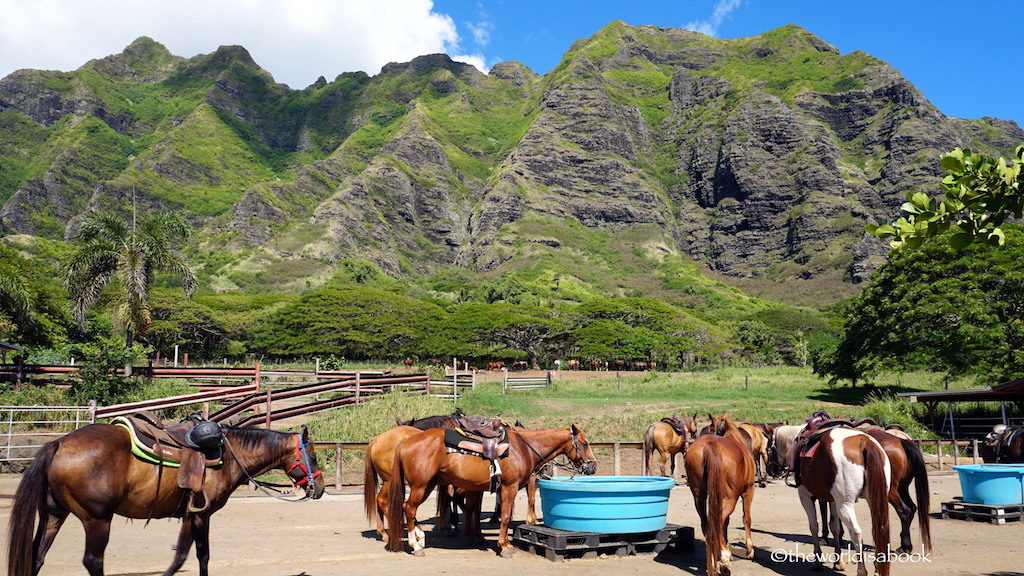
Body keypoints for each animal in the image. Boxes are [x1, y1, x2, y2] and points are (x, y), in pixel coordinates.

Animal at [7, 420, 323, 569]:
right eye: (314, 456)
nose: (319, 488)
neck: (229, 455)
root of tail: (59, 444)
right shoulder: (199, 515)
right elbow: (185, 557)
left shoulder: (193, 516)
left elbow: (199, 556)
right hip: (97, 519)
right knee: (92, 561)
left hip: (54, 514)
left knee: (37, 556)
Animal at [385, 424, 598, 553]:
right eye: (585, 443)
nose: (593, 466)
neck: (523, 448)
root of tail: (405, 442)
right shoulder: (509, 487)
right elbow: (505, 515)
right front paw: (504, 545)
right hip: (420, 486)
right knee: (409, 508)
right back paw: (415, 544)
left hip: (428, 485)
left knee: (409, 509)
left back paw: (420, 538)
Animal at [684, 412, 757, 573]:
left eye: (709, 428)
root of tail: (710, 446)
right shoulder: (748, 491)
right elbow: (746, 518)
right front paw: (750, 551)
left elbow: (726, 523)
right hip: (730, 498)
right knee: (717, 521)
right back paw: (724, 559)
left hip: (699, 496)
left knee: (707, 524)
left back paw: (713, 561)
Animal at [794, 426, 892, 573]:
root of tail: (865, 442)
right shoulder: (833, 500)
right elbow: (835, 527)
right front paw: (838, 561)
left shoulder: (805, 495)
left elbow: (814, 526)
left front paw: (818, 560)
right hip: (873, 500)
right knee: (877, 530)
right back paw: (877, 569)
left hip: (845, 505)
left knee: (856, 533)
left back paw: (861, 571)